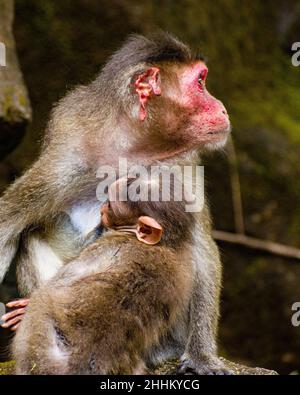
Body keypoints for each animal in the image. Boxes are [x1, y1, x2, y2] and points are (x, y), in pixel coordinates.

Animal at [12, 176, 195, 374]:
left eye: (112, 205)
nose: (102, 207)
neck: (158, 245)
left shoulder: (103, 247)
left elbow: (59, 282)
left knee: (42, 299)